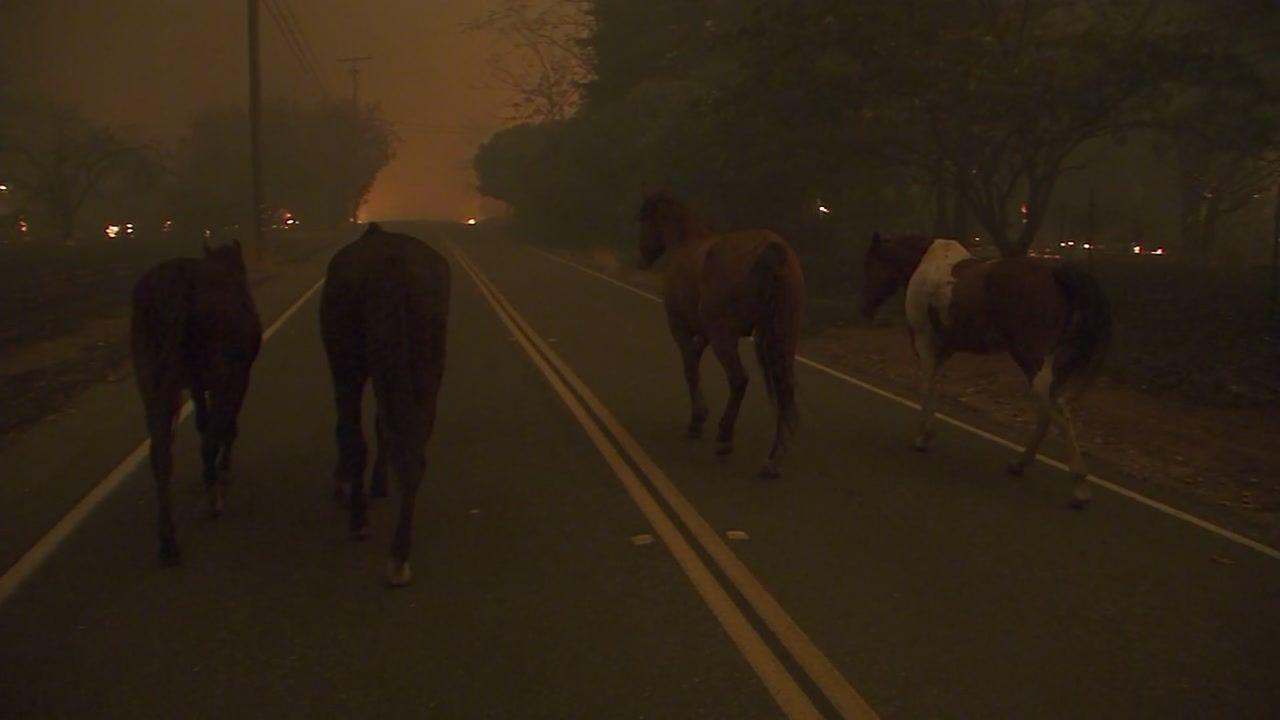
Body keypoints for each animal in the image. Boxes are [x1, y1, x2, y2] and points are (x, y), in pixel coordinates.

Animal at [130, 238, 262, 563]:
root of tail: (178, 289)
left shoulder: (197, 385)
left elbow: (204, 421)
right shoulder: (236, 378)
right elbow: (226, 426)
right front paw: (223, 470)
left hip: (152, 383)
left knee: (161, 453)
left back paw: (168, 539)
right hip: (221, 373)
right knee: (210, 439)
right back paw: (213, 495)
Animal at [320, 220, 450, 584]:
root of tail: (390, 266)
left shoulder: (346, 365)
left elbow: (350, 430)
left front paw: (346, 483)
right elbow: (384, 426)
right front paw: (378, 483)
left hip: (351, 361)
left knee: (356, 436)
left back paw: (360, 521)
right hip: (427, 363)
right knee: (414, 449)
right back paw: (399, 555)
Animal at [637, 190, 803, 476]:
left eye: (644, 219)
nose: (642, 257)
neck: (686, 244)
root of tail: (774, 250)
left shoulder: (680, 329)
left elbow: (690, 370)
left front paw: (697, 421)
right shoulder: (704, 334)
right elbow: (694, 359)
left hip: (724, 339)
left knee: (739, 380)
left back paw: (725, 438)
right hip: (782, 341)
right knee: (784, 388)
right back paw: (773, 458)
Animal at [865, 234, 1116, 504]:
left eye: (871, 266)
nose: (866, 307)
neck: (926, 264)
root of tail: (1059, 275)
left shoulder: (925, 345)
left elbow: (927, 388)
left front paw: (923, 437)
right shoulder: (943, 350)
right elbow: (933, 387)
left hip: (1033, 364)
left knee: (1052, 415)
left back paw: (1078, 485)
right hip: (1054, 371)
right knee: (1055, 413)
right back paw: (1020, 464)